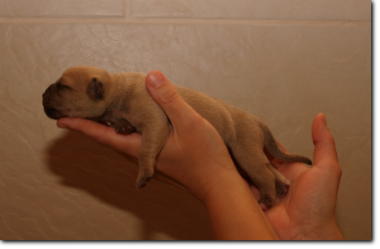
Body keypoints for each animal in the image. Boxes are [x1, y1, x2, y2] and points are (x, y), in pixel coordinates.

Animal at [43, 65, 314, 209]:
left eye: (62, 86)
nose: (43, 93)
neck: (117, 91)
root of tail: (258, 121)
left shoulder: (155, 123)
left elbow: (145, 149)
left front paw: (144, 173)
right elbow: (121, 122)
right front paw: (122, 126)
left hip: (245, 153)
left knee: (264, 175)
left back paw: (267, 199)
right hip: (252, 154)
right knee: (270, 168)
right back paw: (282, 186)